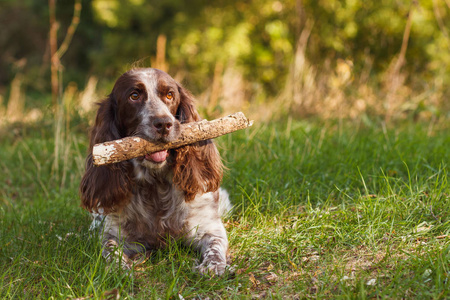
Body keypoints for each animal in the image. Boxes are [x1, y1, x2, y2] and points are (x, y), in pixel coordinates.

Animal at [79, 69, 232, 276]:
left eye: (170, 95)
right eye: (134, 96)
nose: (163, 124)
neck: (156, 184)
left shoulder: (208, 226)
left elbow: (215, 247)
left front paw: (212, 267)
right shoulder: (116, 233)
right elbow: (110, 248)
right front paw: (121, 268)